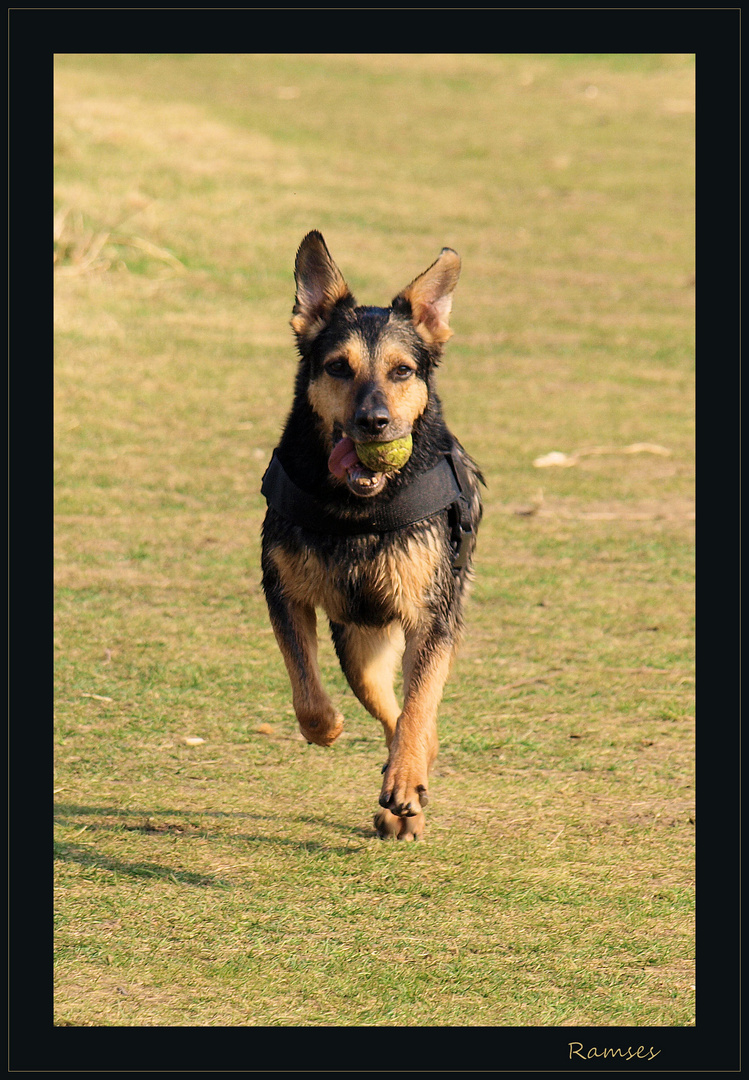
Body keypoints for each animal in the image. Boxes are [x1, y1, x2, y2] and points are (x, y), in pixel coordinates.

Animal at [264, 232, 483, 838]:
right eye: (339, 367)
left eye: (402, 371)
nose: (375, 423)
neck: (356, 509)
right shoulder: (283, 591)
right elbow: (308, 694)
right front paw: (329, 728)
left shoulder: (432, 614)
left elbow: (420, 705)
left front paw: (407, 779)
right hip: (359, 646)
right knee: (388, 707)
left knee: (413, 710)